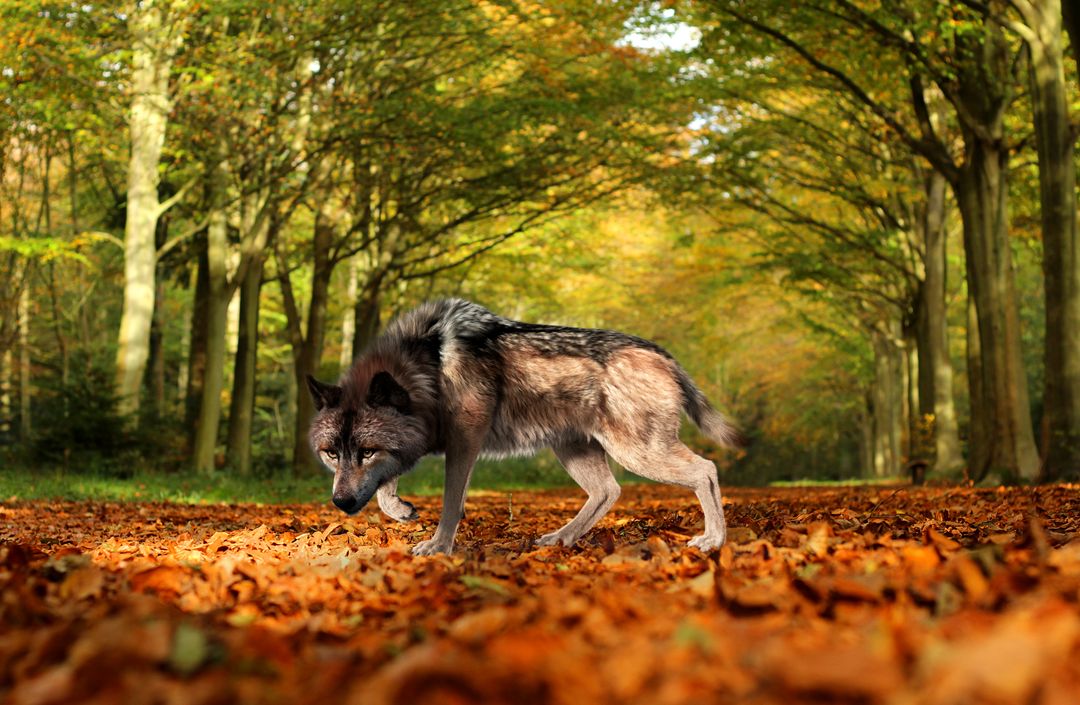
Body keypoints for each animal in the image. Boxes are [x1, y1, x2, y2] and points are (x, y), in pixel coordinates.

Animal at [307, 298, 737, 555]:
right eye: (332, 453)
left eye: (367, 451)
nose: (340, 503)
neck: (426, 369)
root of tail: (665, 355)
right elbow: (385, 487)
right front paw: (401, 510)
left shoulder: (464, 444)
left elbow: (450, 504)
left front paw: (439, 547)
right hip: (576, 453)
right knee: (608, 491)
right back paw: (561, 538)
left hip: (638, 454)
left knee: (706, 470)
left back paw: (714, 540)